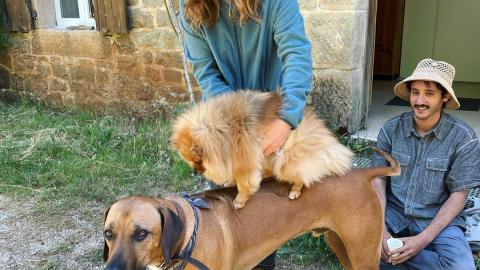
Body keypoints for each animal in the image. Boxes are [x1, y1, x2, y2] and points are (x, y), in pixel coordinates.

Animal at [103, 148, 400, 270]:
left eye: (141, 234)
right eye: (108, 234)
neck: (186, 239)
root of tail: (361, 173)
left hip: (362, 251)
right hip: (339, 244)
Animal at [171, 90, 350, 209]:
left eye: (199, 161)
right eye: (191, 162)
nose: (196, 171)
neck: (223, 130)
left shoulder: (244, 160)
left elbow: (244, 183)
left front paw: (240, 200)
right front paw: (231, 181)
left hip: (287, 158)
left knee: (301, 174)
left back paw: (295, 190)